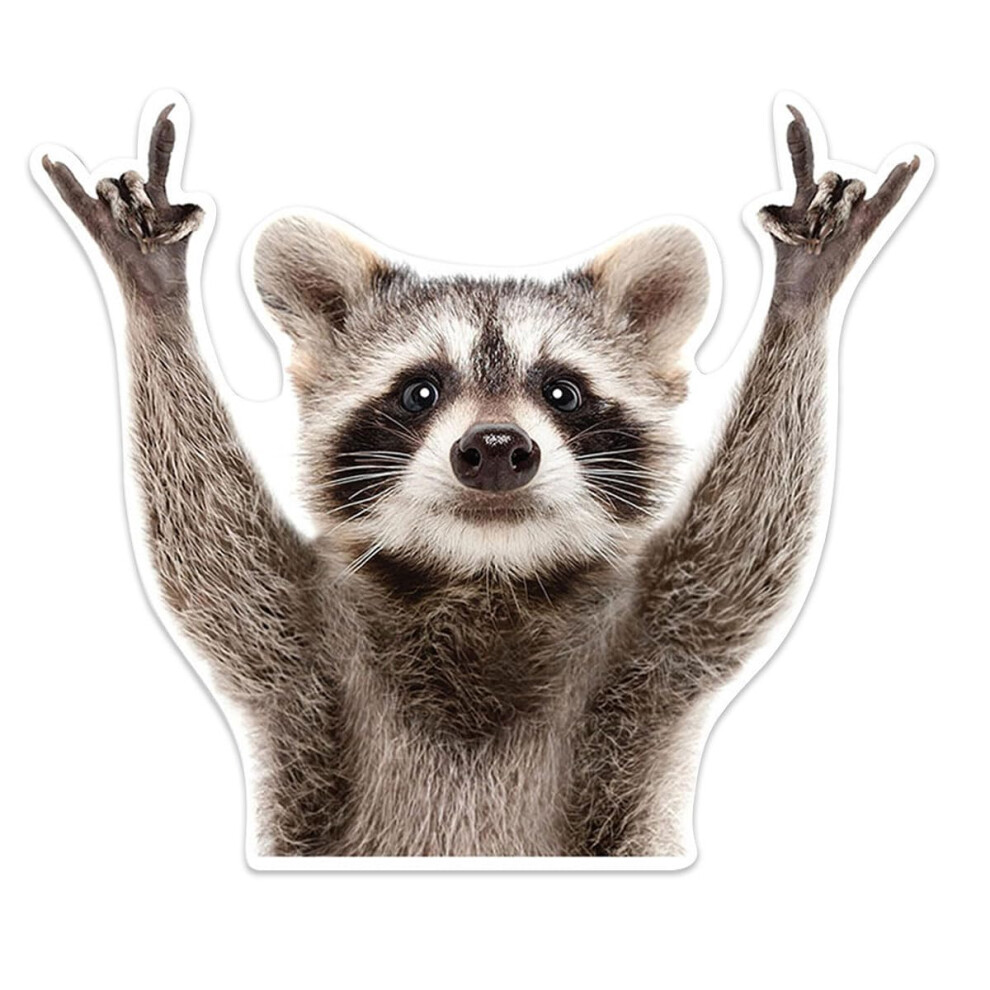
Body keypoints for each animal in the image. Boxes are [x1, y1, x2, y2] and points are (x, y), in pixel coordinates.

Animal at [37, 99, 924, 857]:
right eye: (420, 391)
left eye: (561, 392)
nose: (496, 448)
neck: (485, 576)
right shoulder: (303, 649)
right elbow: (210, 547)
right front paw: (155, 296)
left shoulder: (651, 646)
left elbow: (744, 546)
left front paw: (801, 295)